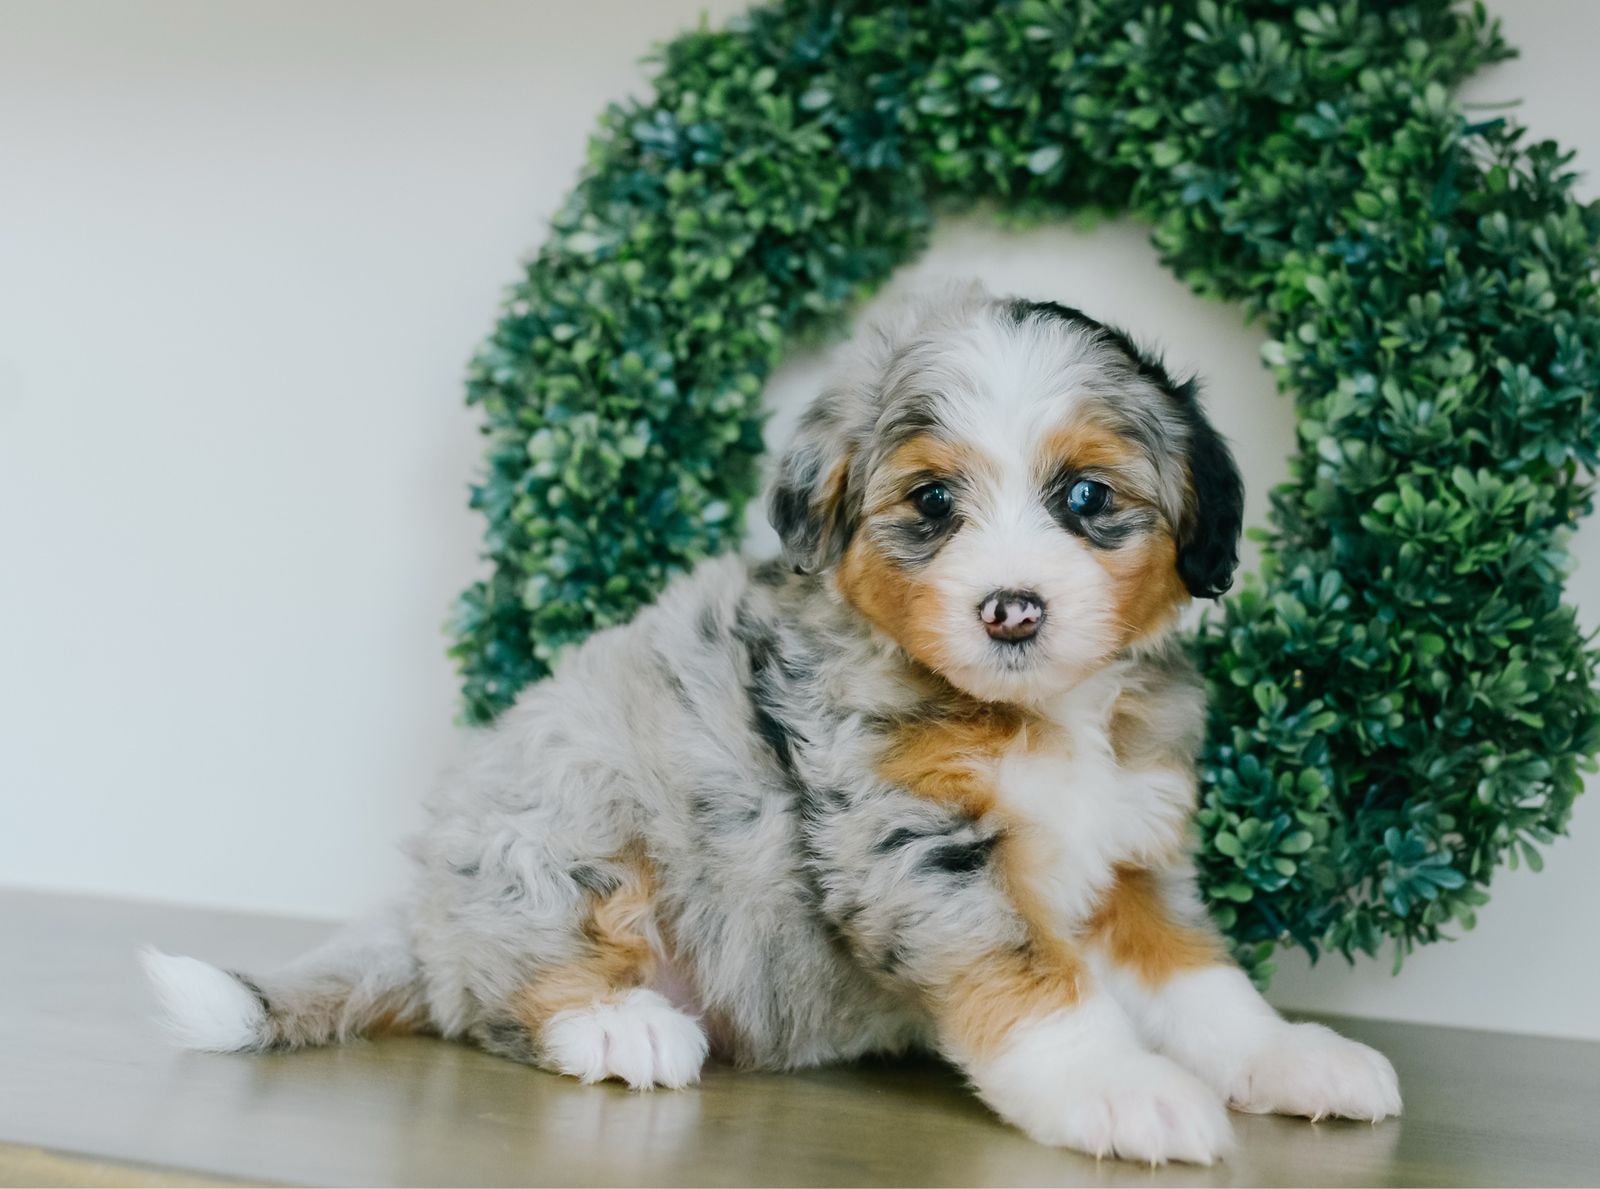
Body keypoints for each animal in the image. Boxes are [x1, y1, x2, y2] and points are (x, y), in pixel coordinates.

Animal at [143, 284, 1400, 1164]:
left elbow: (1202, 983)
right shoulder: (909, 849)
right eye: (932, 501)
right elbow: (1032, 979)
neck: (1031, 712)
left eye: (1087, 497)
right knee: (502, 984)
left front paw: (1293, 1058)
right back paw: (619, 1025)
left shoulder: (1135, 859)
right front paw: (1117, 1088)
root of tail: (423, 913)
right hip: (562, 808)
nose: (1011, 609)